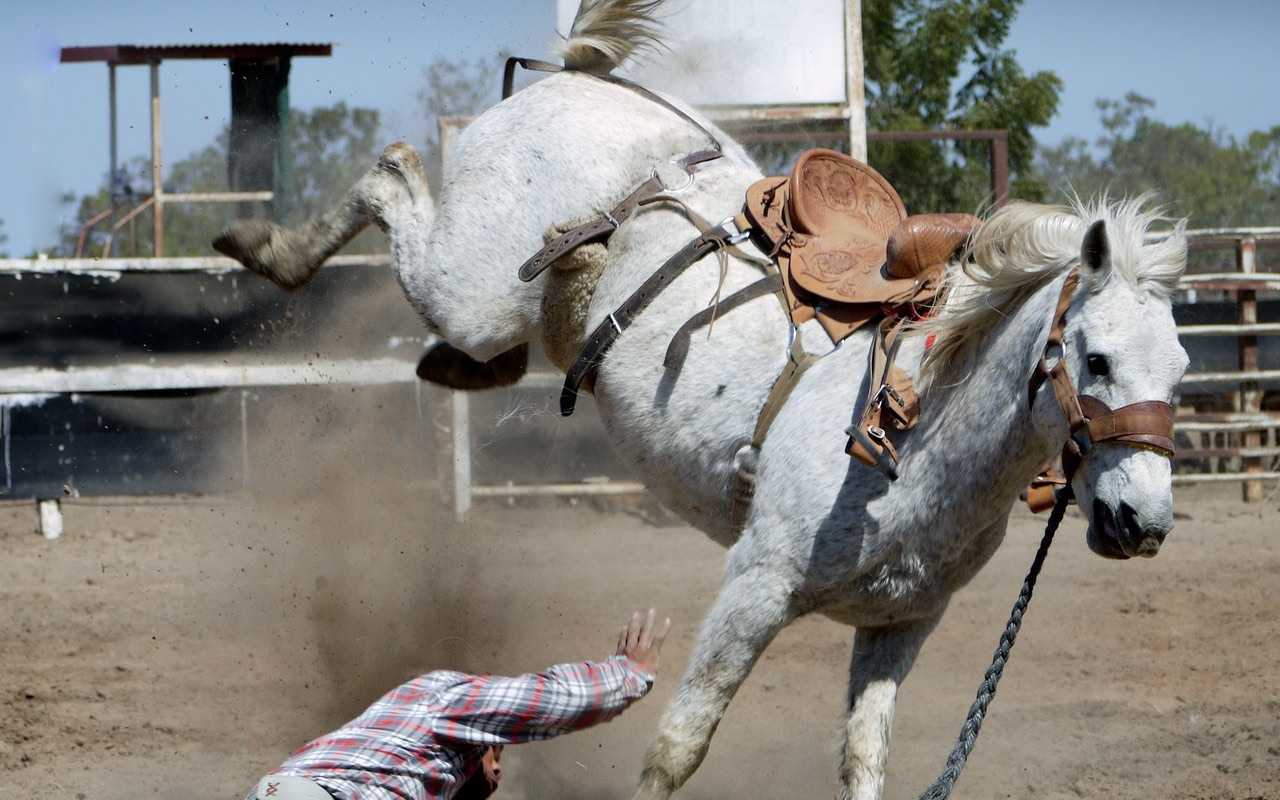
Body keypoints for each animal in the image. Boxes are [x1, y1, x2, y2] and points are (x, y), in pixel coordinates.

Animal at [217, 3, 1187, 793]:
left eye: (1180, 369)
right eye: (1096, 359)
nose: (1142, 522)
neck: (917, 433)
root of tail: (579, 77)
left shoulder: (902, 622)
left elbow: (863, 758)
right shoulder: (753, 587)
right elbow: (678, 746)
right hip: (469, 285)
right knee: (390, 174)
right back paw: (265, 246)